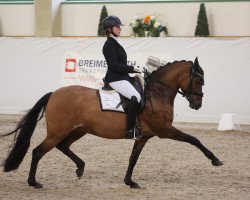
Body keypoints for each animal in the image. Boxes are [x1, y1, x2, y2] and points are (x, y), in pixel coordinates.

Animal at [0, 57, 223, 189]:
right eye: (199, 81)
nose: (197, 104)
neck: (158, 93)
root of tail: (54, 93)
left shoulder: (144, 136)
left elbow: (133, 158)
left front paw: (130, 182)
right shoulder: (165, 130)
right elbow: (194, 139)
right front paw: (215, 160)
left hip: (78, 130)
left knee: (62, 146)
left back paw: (80, 168)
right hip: (57, 131)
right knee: (38, 151)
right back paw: (33, 182)